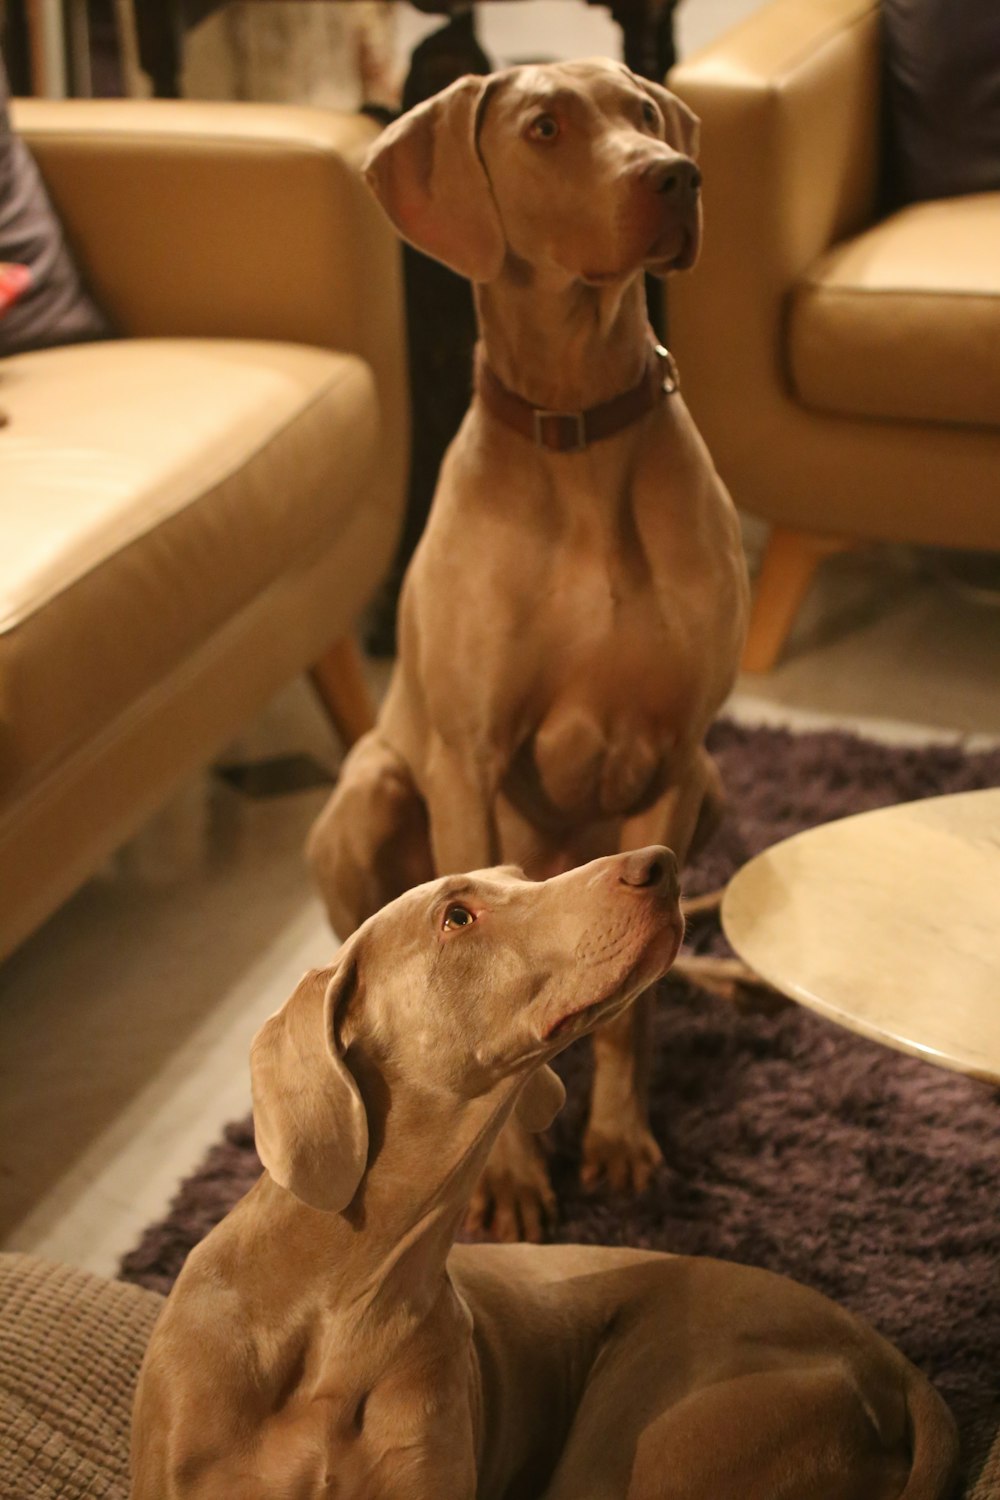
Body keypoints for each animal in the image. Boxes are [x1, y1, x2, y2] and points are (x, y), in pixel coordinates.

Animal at [310, 52, 749, 1236]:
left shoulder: (676, 757)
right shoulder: (464, 759)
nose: (677, 175)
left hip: (714, 787)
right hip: (365, 794)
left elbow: (632, 1013)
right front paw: (504, 1181)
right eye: (545, 127)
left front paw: (618, 1142)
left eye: (642, 111)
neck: (579, 434)